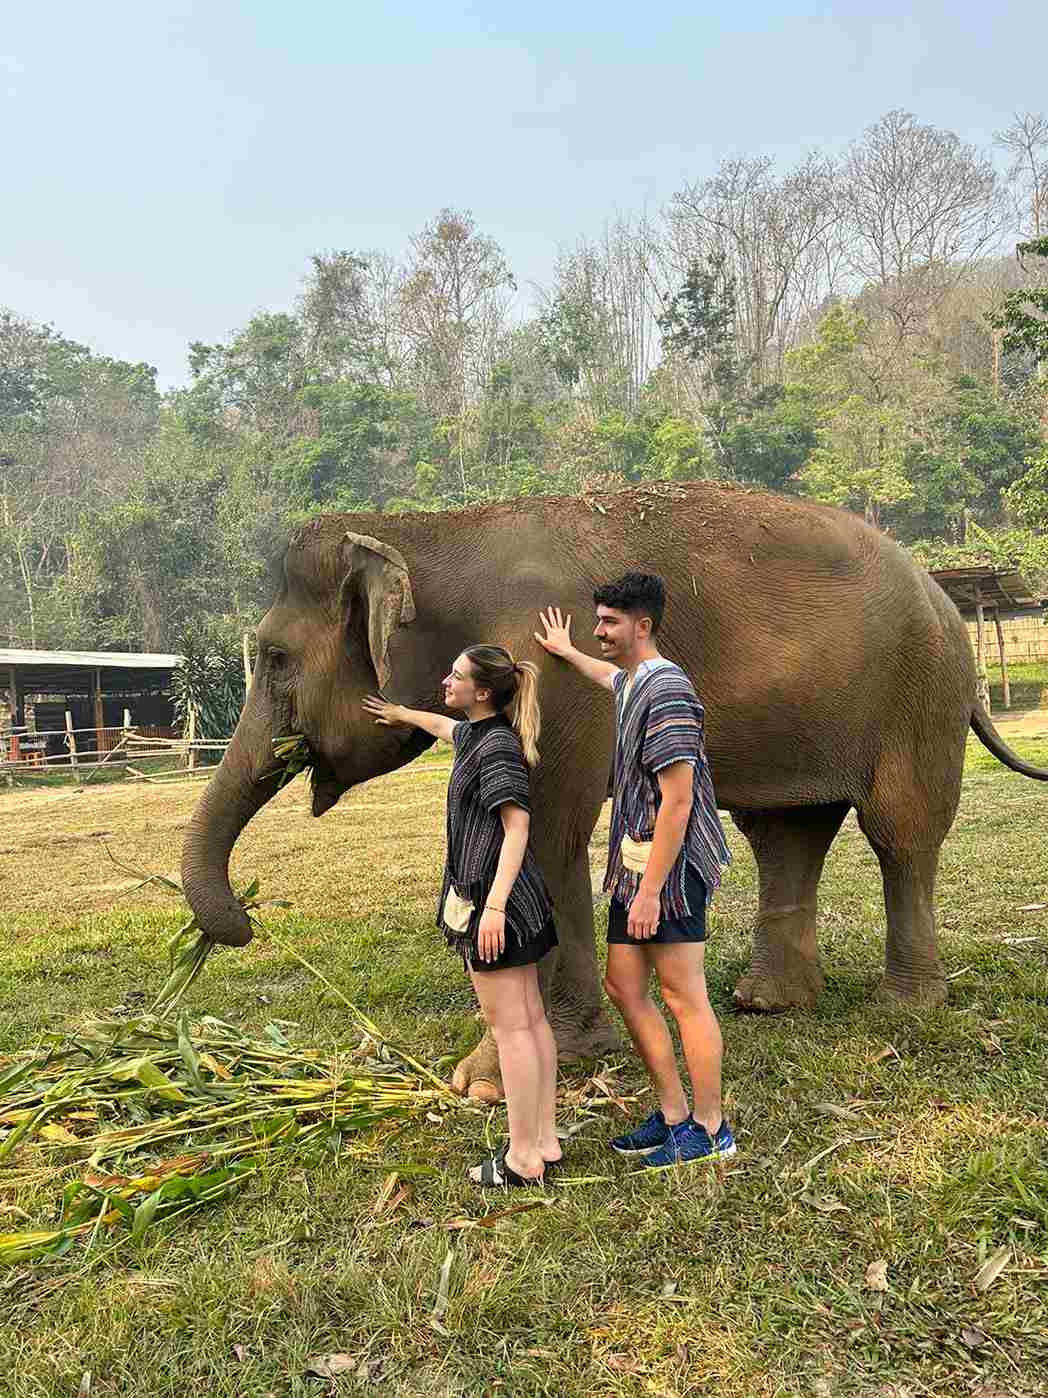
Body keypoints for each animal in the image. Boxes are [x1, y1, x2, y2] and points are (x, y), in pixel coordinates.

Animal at [181, 481, 1048, 1100]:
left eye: (275, 658)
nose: (242, 923)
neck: (430, 529)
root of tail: (942, 595)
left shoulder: (552, 676)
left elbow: (544, 829)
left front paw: (490, 1079)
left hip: (919, 693)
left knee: (900, 832)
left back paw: (903, 1007)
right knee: (785, 829)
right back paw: (767, 1003)